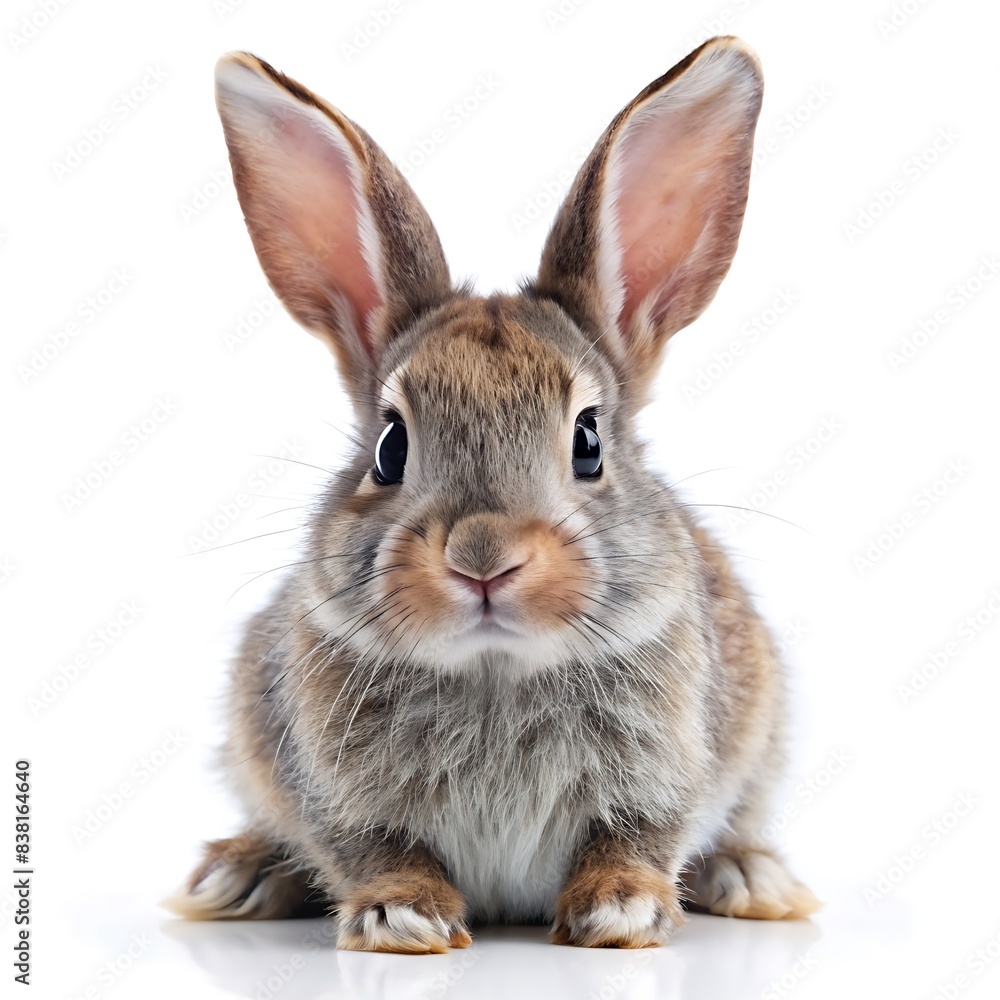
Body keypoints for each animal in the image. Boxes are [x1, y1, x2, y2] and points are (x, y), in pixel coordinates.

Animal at [164, 36, 819, 952]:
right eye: (390, 448)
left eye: (588, 441)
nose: (483, 558)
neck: (495, 669)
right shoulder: (330, 791)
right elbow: (371, 848)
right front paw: (403, 918)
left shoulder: (669, 772)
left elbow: (638, 835)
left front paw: (619, 911)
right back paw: (241, 874)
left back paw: (752, 876)